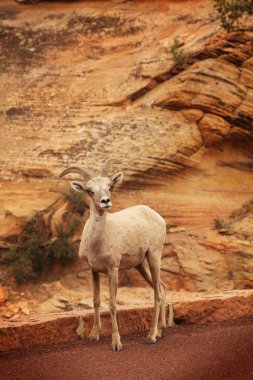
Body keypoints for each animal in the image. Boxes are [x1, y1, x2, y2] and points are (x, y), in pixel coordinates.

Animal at [59, 157, 169, 350]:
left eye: (110, 186)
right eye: (90, 190)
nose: (106, 201)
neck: (97, 244)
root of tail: (156, 216)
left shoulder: (113, 270)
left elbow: (112, 305)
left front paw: (116, 343)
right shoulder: (93, 271)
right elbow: (96, 301)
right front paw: (93, 335)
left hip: (154, 256)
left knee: (156, 293)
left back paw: (151, 336)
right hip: (141, 265)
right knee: (161, 288)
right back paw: (160, 330)